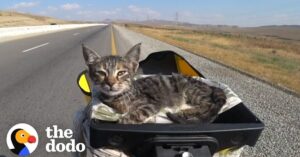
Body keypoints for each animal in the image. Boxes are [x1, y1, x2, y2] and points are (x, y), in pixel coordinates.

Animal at [82, 43, 225, 124]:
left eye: (121, 73)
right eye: (101, 73)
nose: (111, 83)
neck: (119, 97)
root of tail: (211, 86)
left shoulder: (152, 104)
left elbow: (132, 116)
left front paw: (122, 120)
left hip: (192, 91)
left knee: (210, 105)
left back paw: (183, 113)